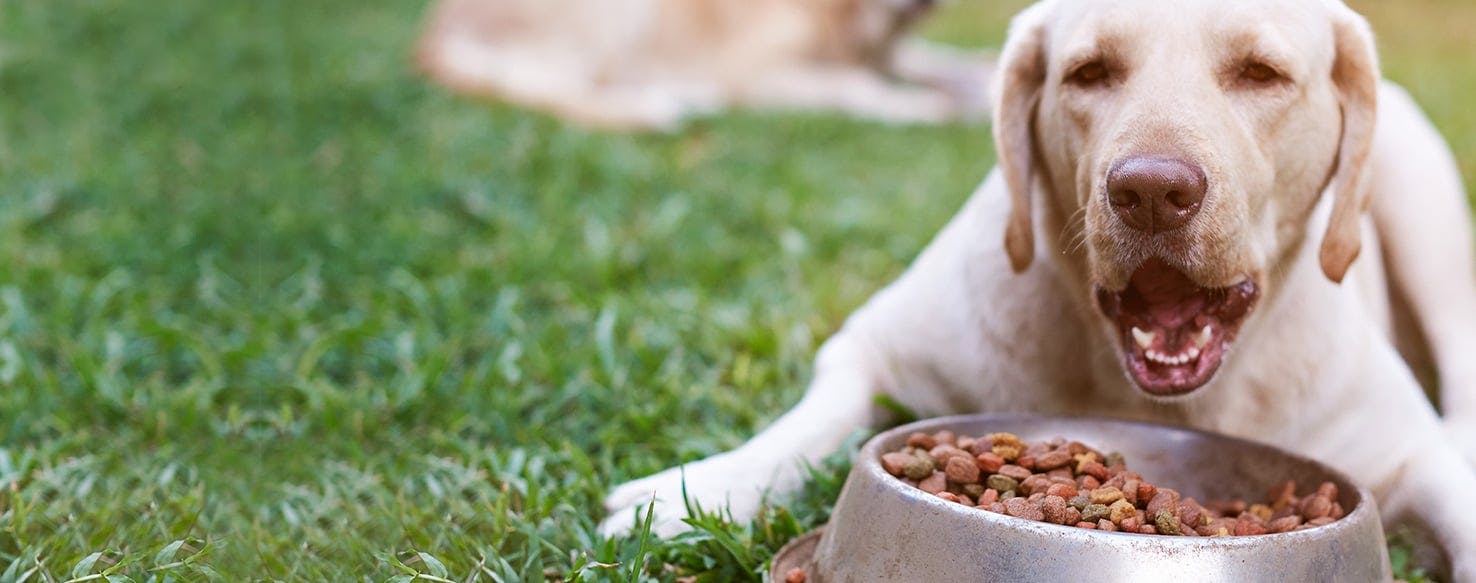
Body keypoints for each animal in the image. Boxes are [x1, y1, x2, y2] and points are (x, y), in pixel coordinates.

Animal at [602, 0, 1476, 578]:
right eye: (1090, 73)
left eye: (1261, 73)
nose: (1151, 191)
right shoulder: (876, 343)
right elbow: (810, 419)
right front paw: (696, 489)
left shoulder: (1408, 452)